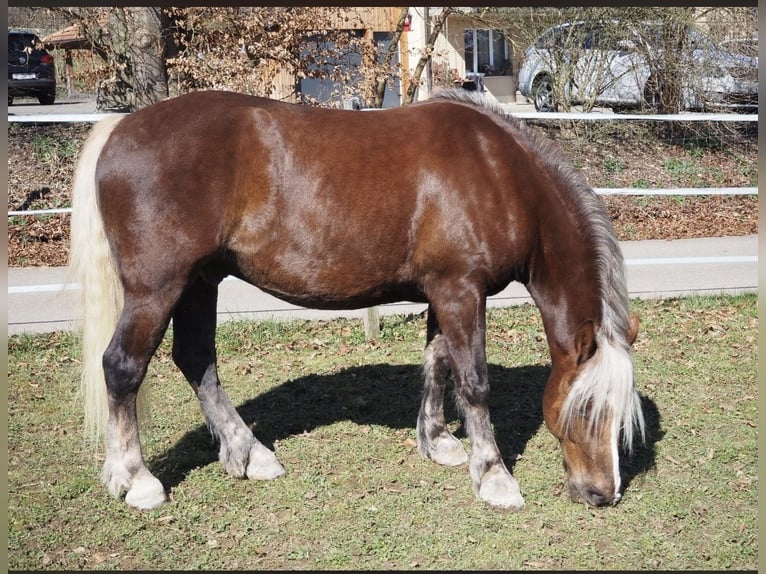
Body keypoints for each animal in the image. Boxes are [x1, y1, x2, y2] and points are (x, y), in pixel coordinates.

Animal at [69, 88, 645, 511]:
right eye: (589, 408)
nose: (604, 493)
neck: (498, 174)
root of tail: (121, 126)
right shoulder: (461, 290)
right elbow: (474, 381)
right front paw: (494, 476)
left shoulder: (443, 291)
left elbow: (437, 364)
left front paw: (438, 442)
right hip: (158, 288)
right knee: (122, 367)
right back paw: (137, 480)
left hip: (199, 283)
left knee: (197, 361)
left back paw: (250, 455)